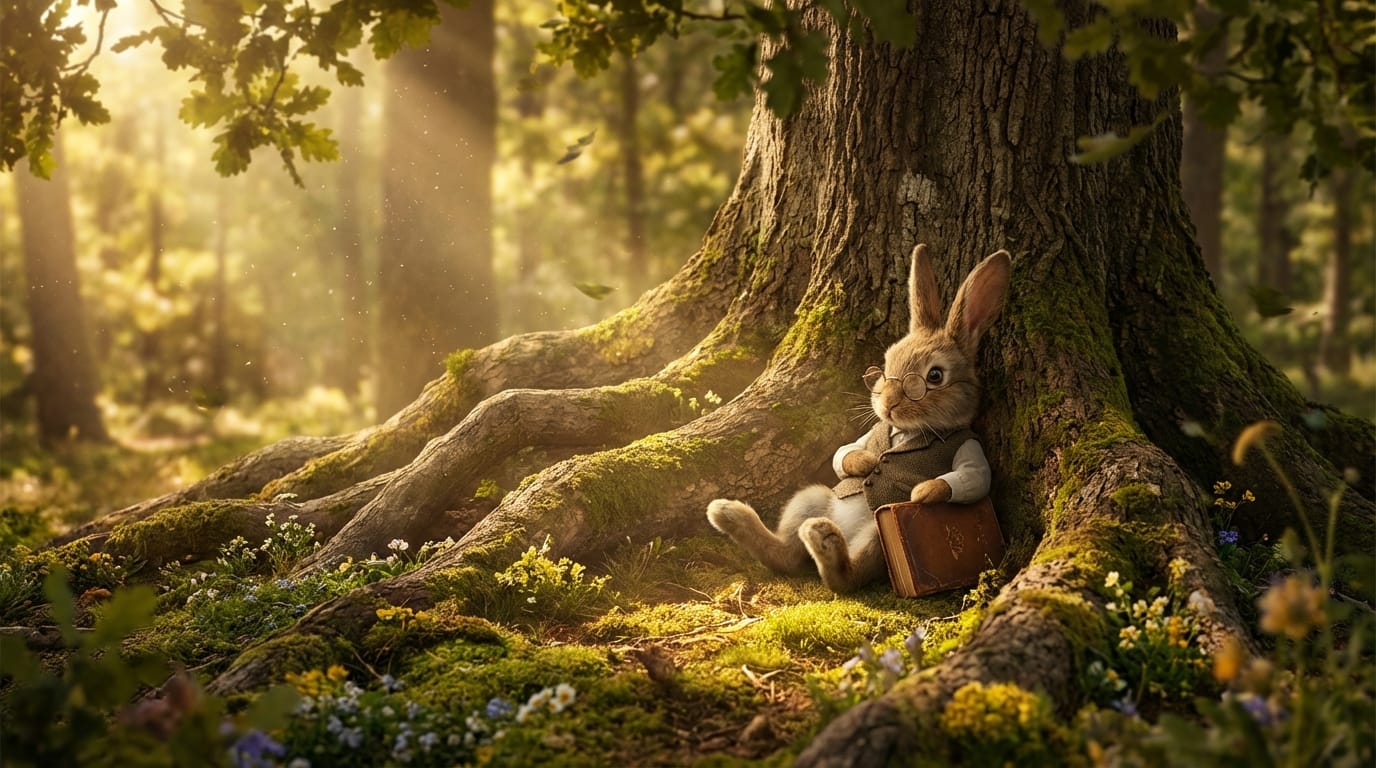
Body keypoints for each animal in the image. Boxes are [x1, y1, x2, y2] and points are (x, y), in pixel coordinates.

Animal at [706, 243, 1011, 593]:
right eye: (886, 365)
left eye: (934, 376)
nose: (888, 405)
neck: (907, 432)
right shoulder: (864, 439)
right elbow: (845, 452)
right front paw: (867, 462)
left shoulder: (968, 446)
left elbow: (973, 478)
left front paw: (922, 493)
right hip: (810, 498)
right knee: (787, 557)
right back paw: (728, 513)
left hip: (877, 535)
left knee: (843, 579)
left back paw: (822, 539)